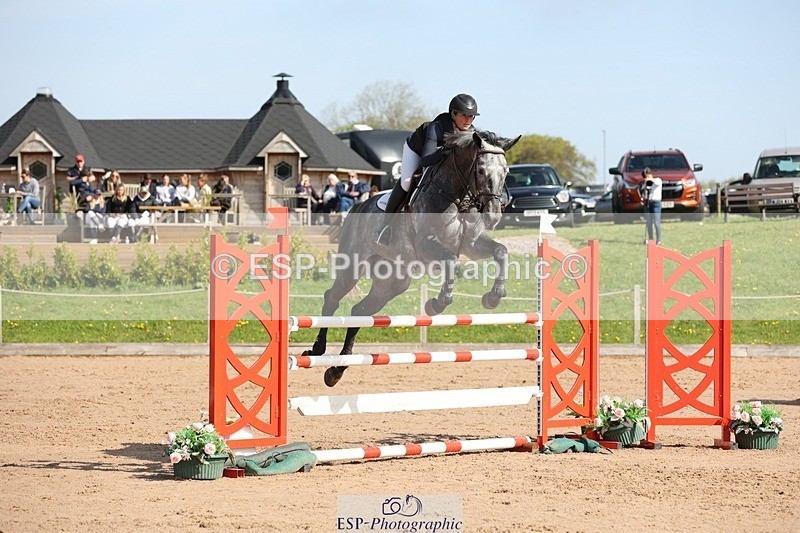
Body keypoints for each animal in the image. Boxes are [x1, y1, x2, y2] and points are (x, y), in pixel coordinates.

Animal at [303, 130, 520, 387]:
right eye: (480, 170)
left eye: (505, 171)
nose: (493, 216)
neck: (457, 198)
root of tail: (358, 206)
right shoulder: (426, 245)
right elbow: (451, 260)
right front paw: (437, 303)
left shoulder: (473, 244)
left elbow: (500, 251)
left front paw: (494, 297)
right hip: (353, 266)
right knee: (332, 298)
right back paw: (318, 350)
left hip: (392, 282)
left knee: (359, 311)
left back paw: (337, 369)